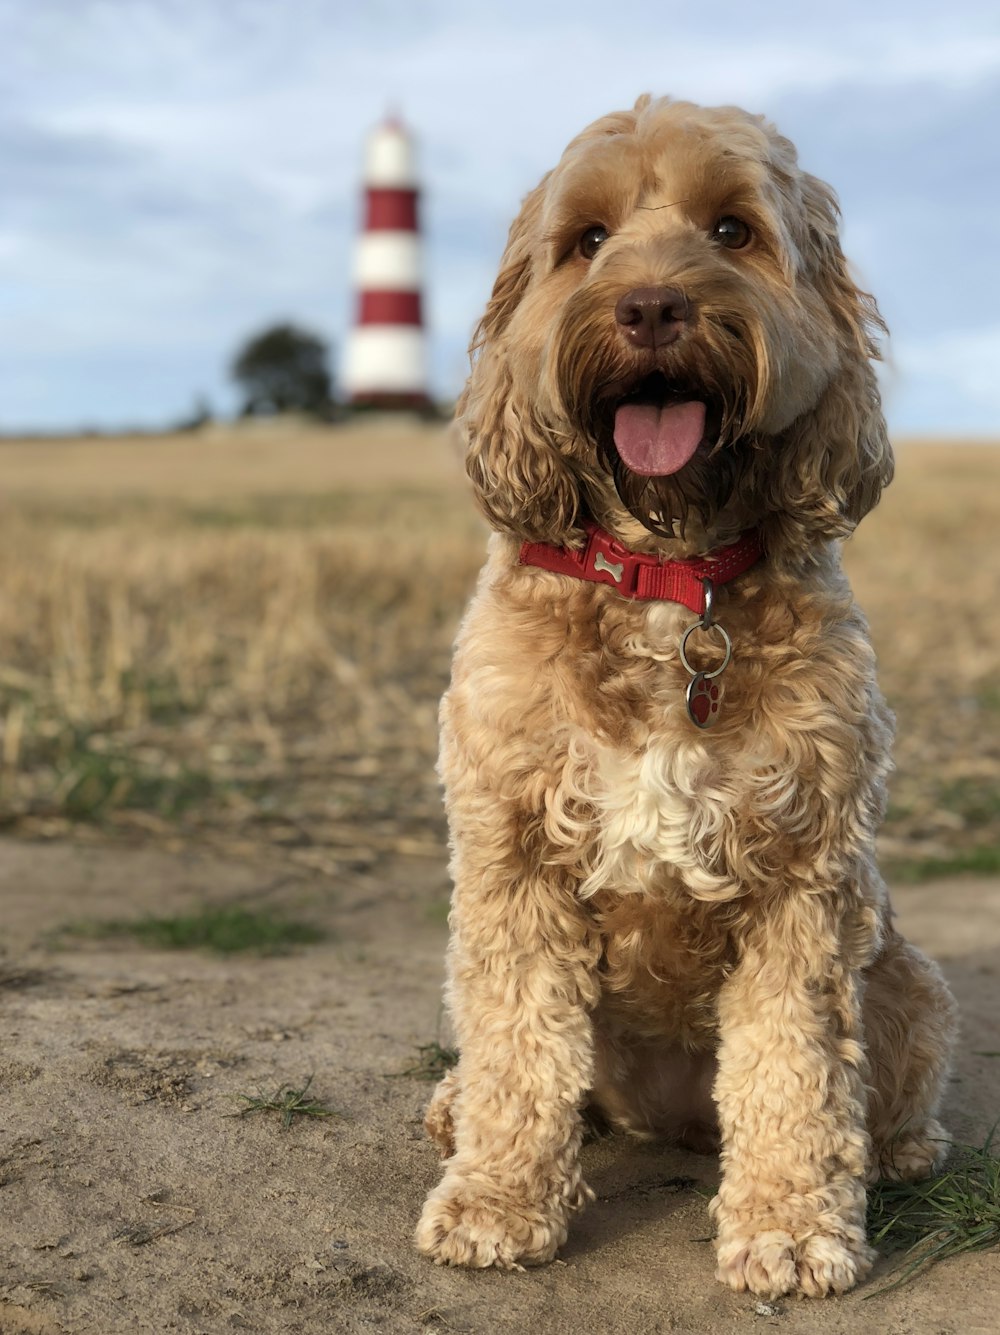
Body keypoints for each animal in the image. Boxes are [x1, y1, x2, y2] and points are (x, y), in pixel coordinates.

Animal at [411, 96, 950, 1302]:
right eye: (588, 239)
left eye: (733, 230)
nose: (652, 305)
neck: (668, 576)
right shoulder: (512, 857)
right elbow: (517, 1044)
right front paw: (496, 1200)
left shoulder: (804, 878)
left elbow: (794, 1066)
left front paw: (791, 1224)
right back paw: (456, 1110)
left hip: (906, 976)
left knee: (884, 1083)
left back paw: (897, 1151)